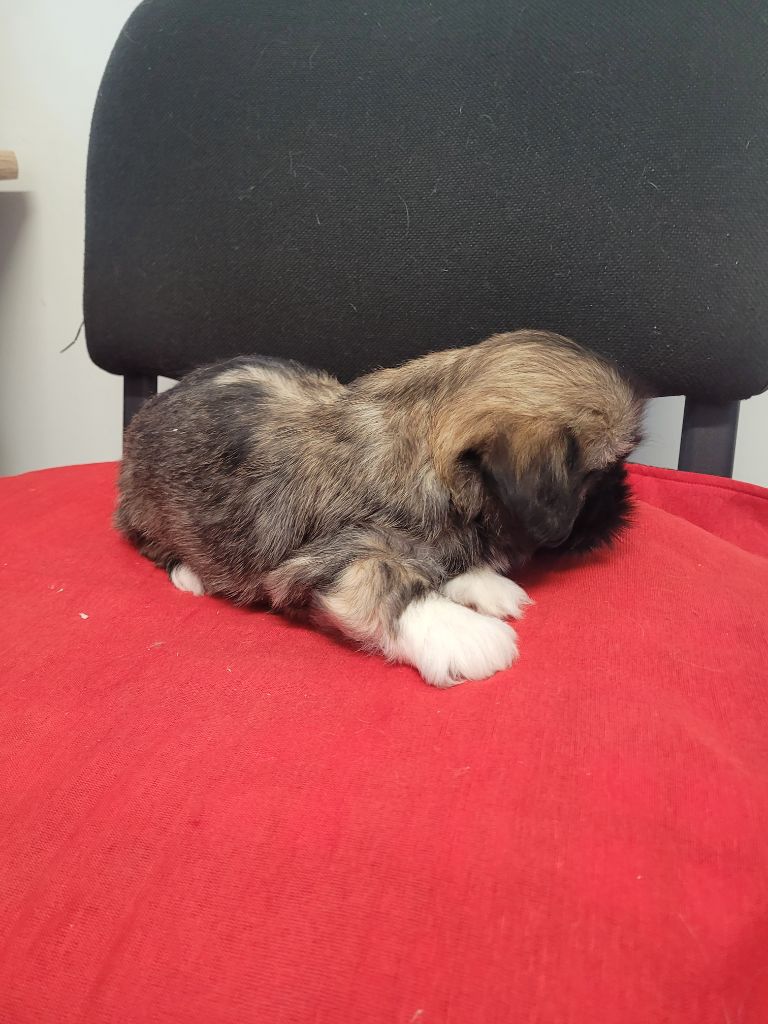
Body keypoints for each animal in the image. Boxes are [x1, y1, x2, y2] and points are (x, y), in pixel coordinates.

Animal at [116, 330, 644, 686]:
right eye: (599, 475)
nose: (626, 501)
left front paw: (482, 582)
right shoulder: (328, 559)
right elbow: (387, 579)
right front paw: (465, 633)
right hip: (152, 510)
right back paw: (190, 573)